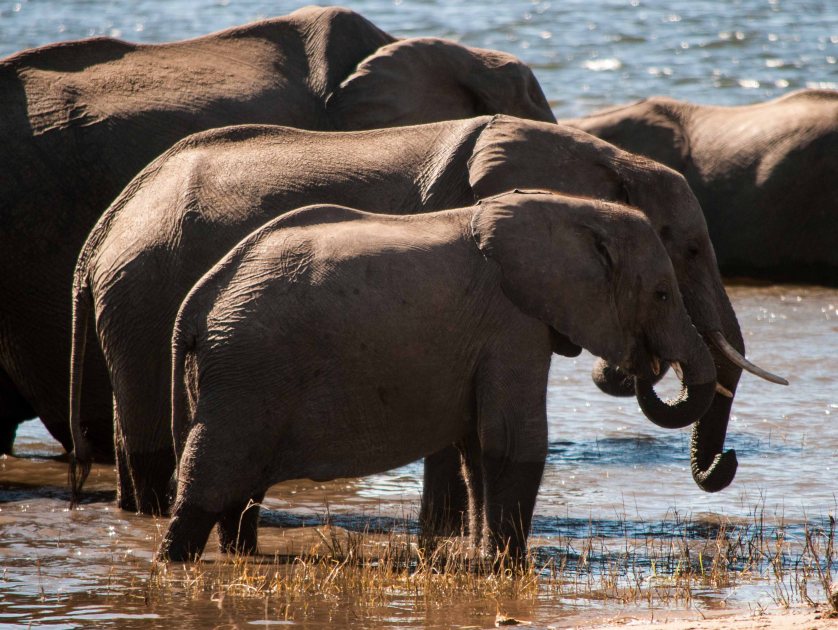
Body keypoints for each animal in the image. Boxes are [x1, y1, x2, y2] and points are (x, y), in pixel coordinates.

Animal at [157, 190, 720, 562]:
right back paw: (172, 562)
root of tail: (195, 303)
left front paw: (483, 559)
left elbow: (478, 450)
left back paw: (239, 557)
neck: (573, 210)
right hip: (247, 375)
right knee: (209, 479)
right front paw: (510, 567)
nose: (643, 365)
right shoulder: (512, 322)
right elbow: (514, 441)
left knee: (237, 491)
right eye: (663, 294)